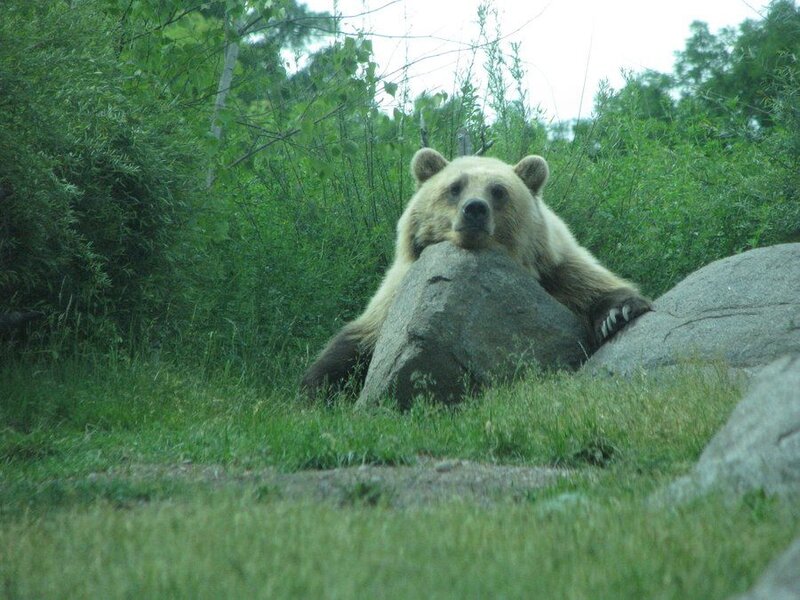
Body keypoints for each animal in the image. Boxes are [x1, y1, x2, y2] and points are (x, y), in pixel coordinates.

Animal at [301, 148, 651, 397]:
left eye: (498, 191)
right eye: (454, 187)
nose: (474, 209)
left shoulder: (554, 269)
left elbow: (590, 285)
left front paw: (616, 314)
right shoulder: (400, 290)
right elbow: (354, 346)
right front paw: (320, 389)